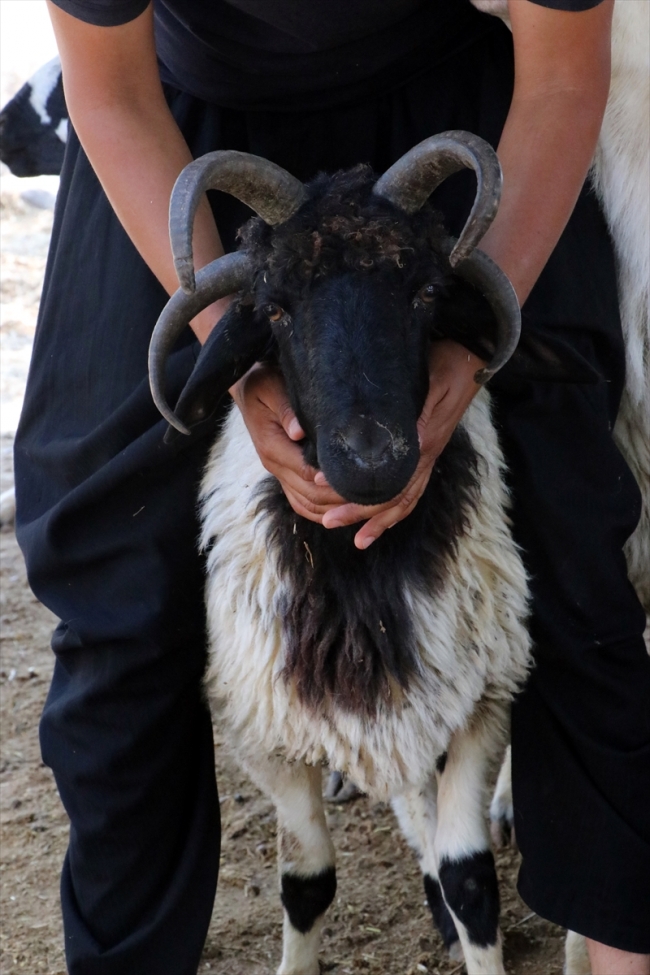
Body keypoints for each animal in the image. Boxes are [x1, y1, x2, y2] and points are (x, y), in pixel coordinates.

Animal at [149, 135, 596, 975]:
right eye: (275, 308)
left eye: (424, 294)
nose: (371, 459)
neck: (363, 572)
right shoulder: (262, 727)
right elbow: (308, 882)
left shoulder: (477, 698)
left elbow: (470, 877)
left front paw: (467, 919)